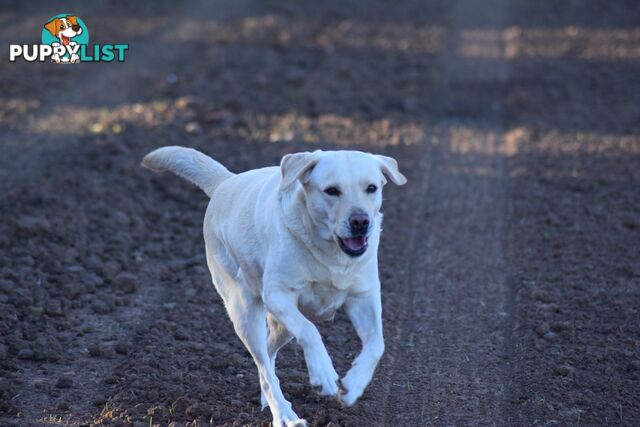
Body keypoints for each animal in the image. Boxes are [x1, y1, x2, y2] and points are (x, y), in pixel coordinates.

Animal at [143, 146, 408, 424]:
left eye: (371, 188)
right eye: (332, 190)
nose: (360, 222)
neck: (331, 254)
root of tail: (225, 182)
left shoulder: (363, 297)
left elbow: (377, 344)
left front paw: (353, 386)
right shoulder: (277, 295)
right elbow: (311, 331)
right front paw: (324, 374)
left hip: (283, 326)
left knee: (268, 356)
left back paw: (268, 400)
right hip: (244, 309)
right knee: (264, 363)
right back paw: (285, 416)